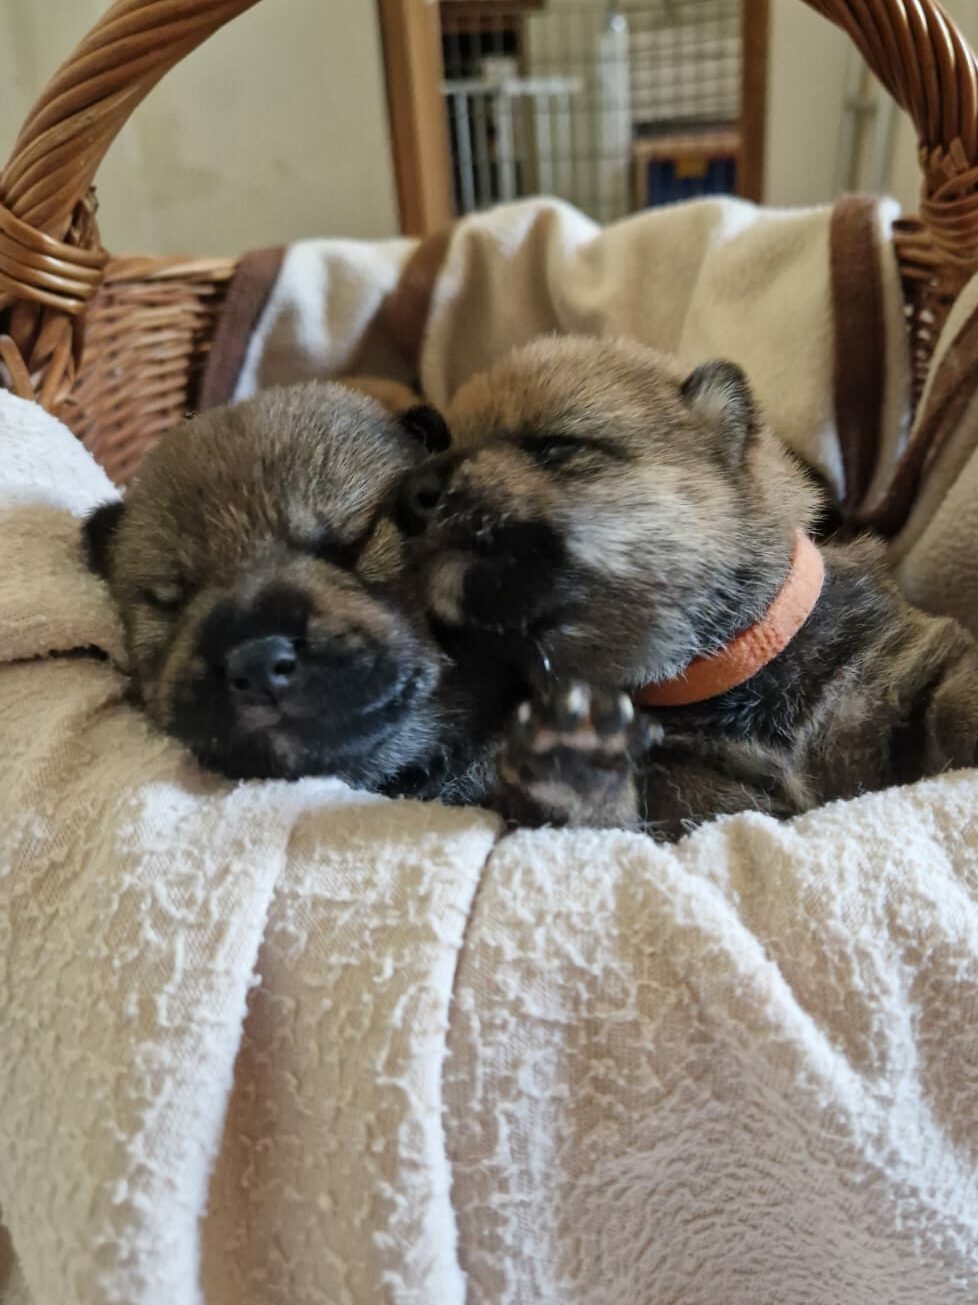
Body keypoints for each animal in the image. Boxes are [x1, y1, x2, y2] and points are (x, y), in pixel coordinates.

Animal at [396, 336, 978, 835]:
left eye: (556, 445)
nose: (409, 491)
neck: (722, 672)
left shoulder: (906, 662)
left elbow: (953, 696)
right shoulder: (685, 810)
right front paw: (573, 764)